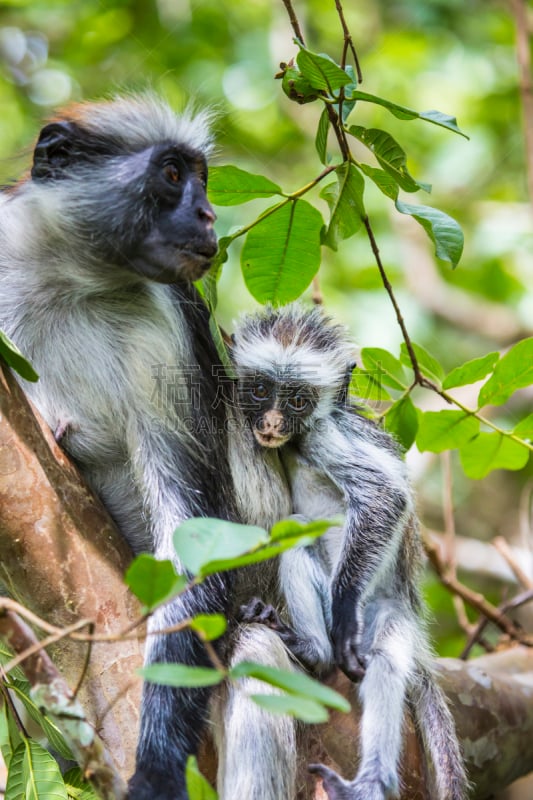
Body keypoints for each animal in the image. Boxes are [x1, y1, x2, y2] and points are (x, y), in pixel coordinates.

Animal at [232, 304, 466, 800]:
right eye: (260, 390)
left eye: (298, 400)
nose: (272, 424)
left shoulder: (325, 434)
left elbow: (384, 497)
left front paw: (341, 612)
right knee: (294, 542)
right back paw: (312, 648)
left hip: (388, 615)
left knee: (383, 664)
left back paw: (370, 780)